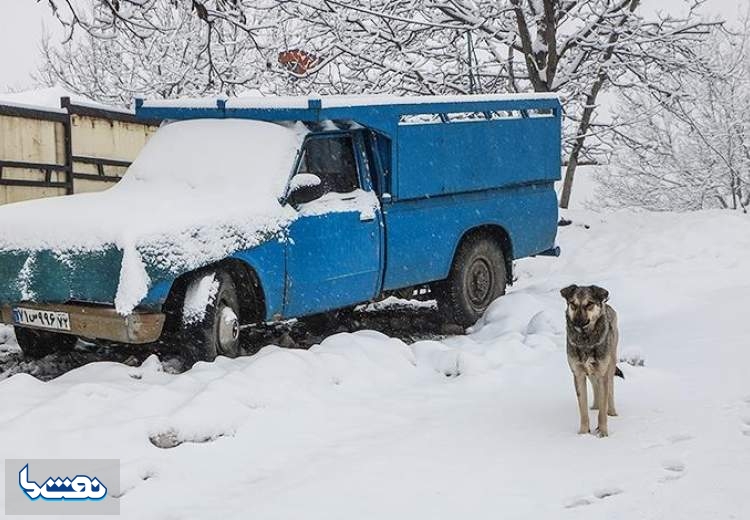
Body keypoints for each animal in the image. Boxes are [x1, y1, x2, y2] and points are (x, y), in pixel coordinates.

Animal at [564, 286, 624, 436]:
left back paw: (612, 411)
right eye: (573, 304)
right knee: (595, 386)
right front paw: (583, 433)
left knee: (610, 390)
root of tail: (606, 304)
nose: (577, 323)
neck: (586, 341)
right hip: (591, 372)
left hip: (610, 365)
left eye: (589, 304)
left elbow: (602, 410)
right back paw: (595, 406)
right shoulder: (579, 374)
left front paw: (602, 432)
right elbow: (583, 409)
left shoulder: (602, 373)